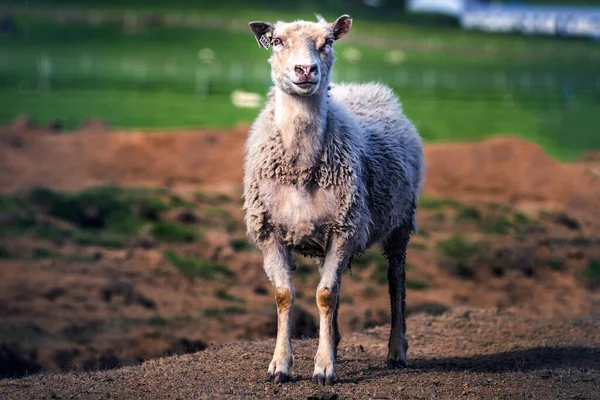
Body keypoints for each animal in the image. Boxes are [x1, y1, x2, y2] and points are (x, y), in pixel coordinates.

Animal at [241, 14, 424, 386]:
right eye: (277, 41)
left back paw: (396, 351)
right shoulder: (270, 231)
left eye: (327, 42)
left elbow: (325, 295)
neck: (300, 166)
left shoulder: (344, 230)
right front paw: (281, 365)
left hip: (400, 223)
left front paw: (324, 368)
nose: (305, 70)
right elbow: (285, 295)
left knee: (395, 280)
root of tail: (368, 88)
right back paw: (336, 343)